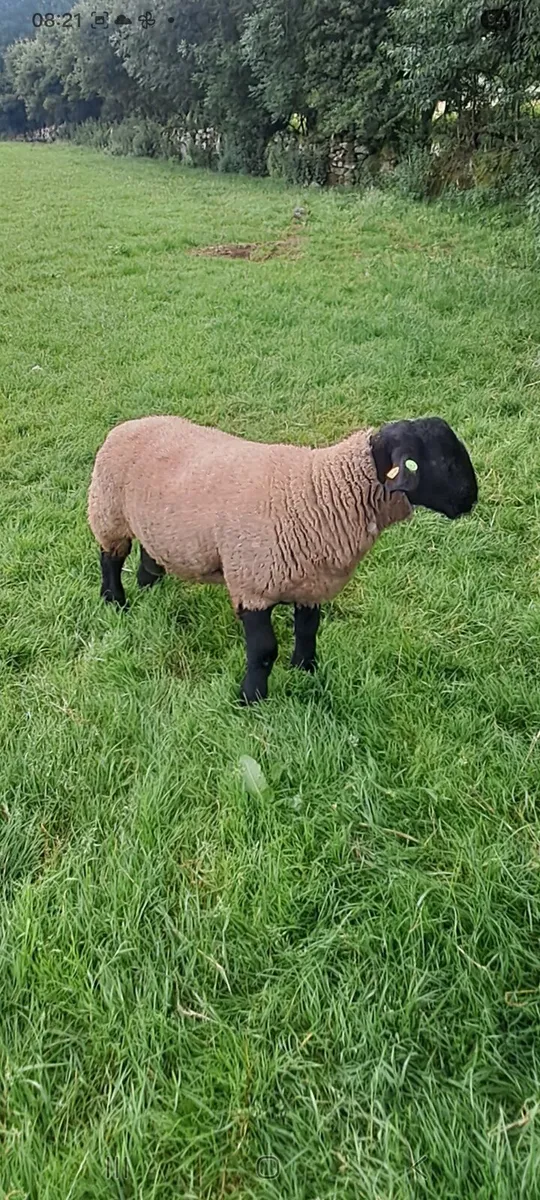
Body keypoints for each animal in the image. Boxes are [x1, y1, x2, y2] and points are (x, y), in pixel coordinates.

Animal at [88, 414, 478, 703]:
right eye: (442, 461)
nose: (471, 500)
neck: (323, 491)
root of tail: (128, 424)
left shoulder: (311, 584)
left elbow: (308, 631)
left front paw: (305, 671)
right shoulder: (252, 585)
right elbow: (263, 650)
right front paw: (251, 699)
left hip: (154, 522)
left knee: (149, 552)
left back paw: (149, 585)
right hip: (108, 513)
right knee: (111, 558)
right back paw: (114, 601)